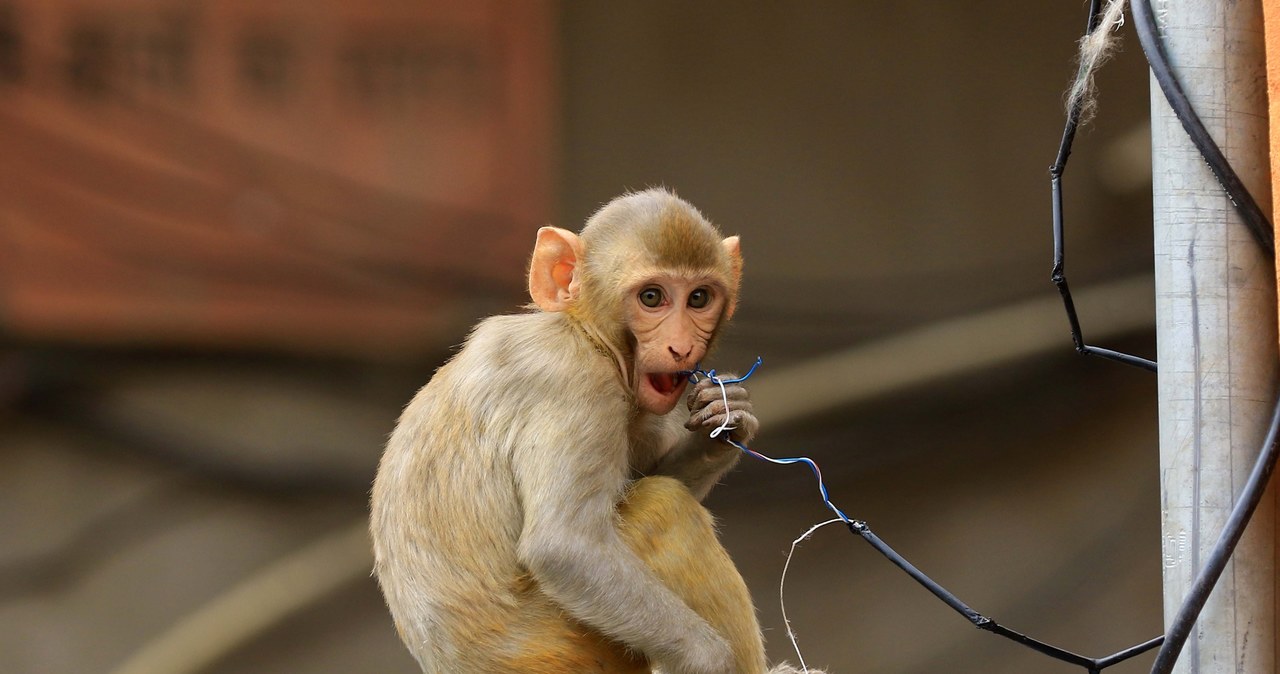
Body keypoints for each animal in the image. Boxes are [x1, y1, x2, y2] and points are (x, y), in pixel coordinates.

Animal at [368, 188, 819, 674]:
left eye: (699, 298)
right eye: (652, 297)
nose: (681, 346)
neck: (586, 334)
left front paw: (723, 418)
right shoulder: (576, 387)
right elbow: (565, 546)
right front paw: (709, 661)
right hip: (563, 648)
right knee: (663, 509)